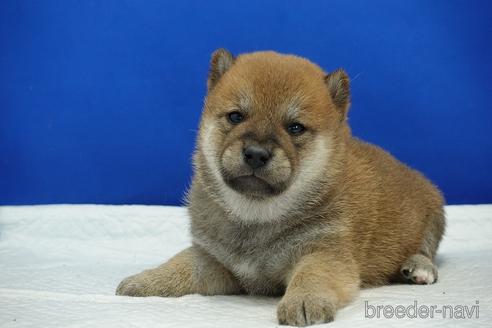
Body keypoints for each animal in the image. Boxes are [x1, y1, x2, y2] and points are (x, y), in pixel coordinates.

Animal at [116, 48, 446, 326]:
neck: (256, 217)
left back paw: (418, 267)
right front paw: (146, 280)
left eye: (295, 127)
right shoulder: (215, 261)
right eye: (236, 116)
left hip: (434, 214)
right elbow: (182, 264)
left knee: (427, 250)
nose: (256, 154)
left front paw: (304, 300)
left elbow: (312, 276)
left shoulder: (324, 252)